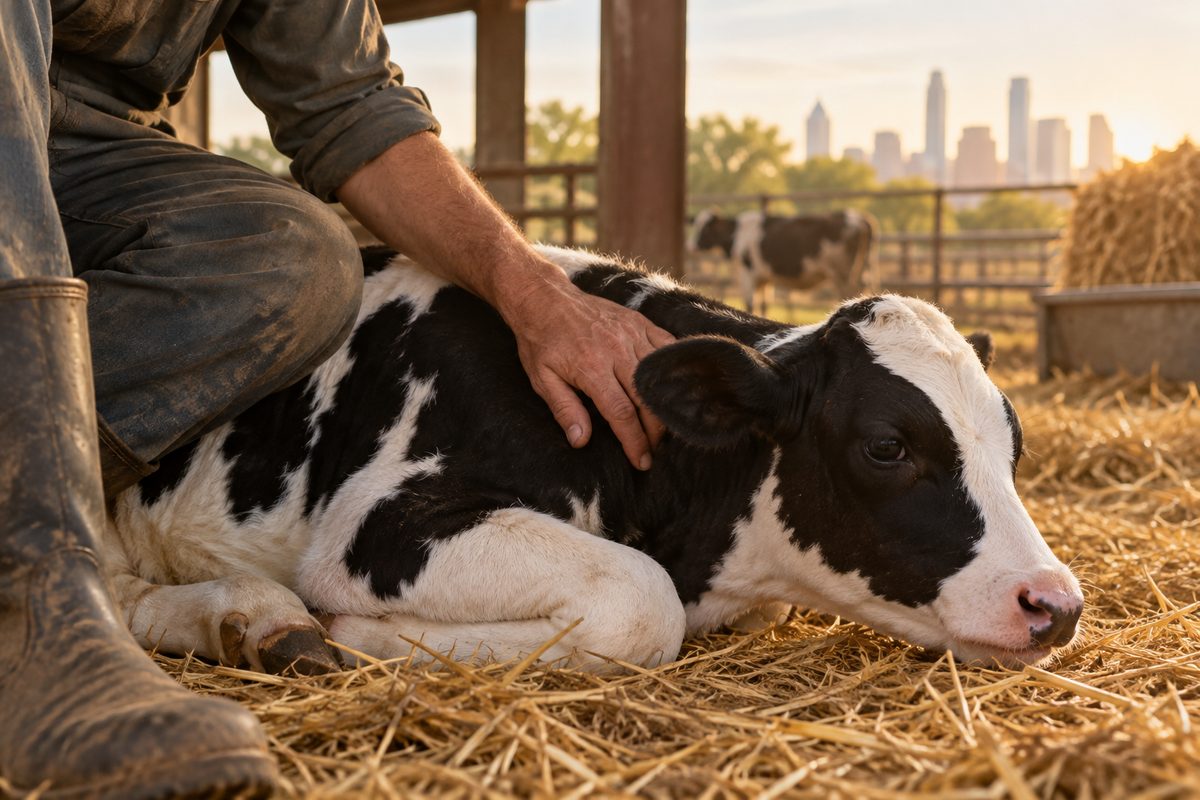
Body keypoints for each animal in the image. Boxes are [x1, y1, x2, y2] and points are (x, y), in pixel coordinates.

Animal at [100, 245, 1083, 676]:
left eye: (1013, 444)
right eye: (887, 446)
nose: (1056, 604)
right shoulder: (375, 524)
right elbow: (640, 603)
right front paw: (365, 636)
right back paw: (262, 617)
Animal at [689, 209, 877, 313]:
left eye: (705, 228)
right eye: (695, 224)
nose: (691, 246)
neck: (738, 233)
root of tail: (859, 218)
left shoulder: (748, 274)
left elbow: (750, 304)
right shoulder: (764, 278)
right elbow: (763, 305)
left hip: (843, 274)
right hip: (861, 270)